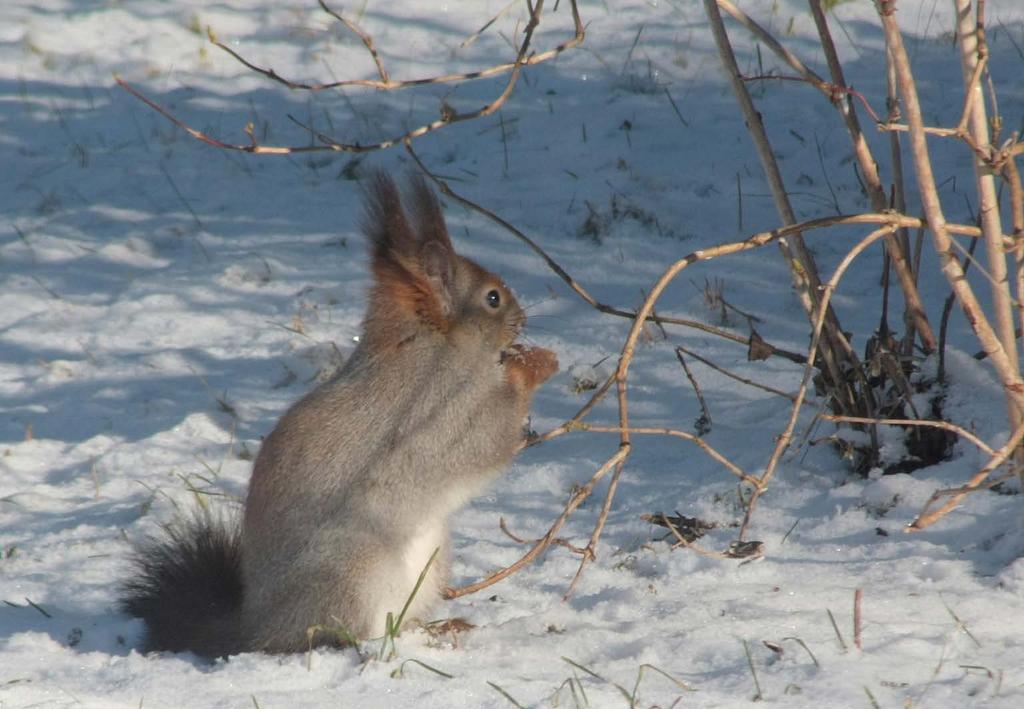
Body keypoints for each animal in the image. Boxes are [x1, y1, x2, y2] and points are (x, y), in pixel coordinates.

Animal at [119, 173, 561, 659]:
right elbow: (491, 432)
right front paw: (535, 365)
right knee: (343, 634)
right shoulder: (446, 409)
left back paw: (437, 628)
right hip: (351, 570)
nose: (524, 319)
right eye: (493, 298)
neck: (434, 342)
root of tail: (259, 631)